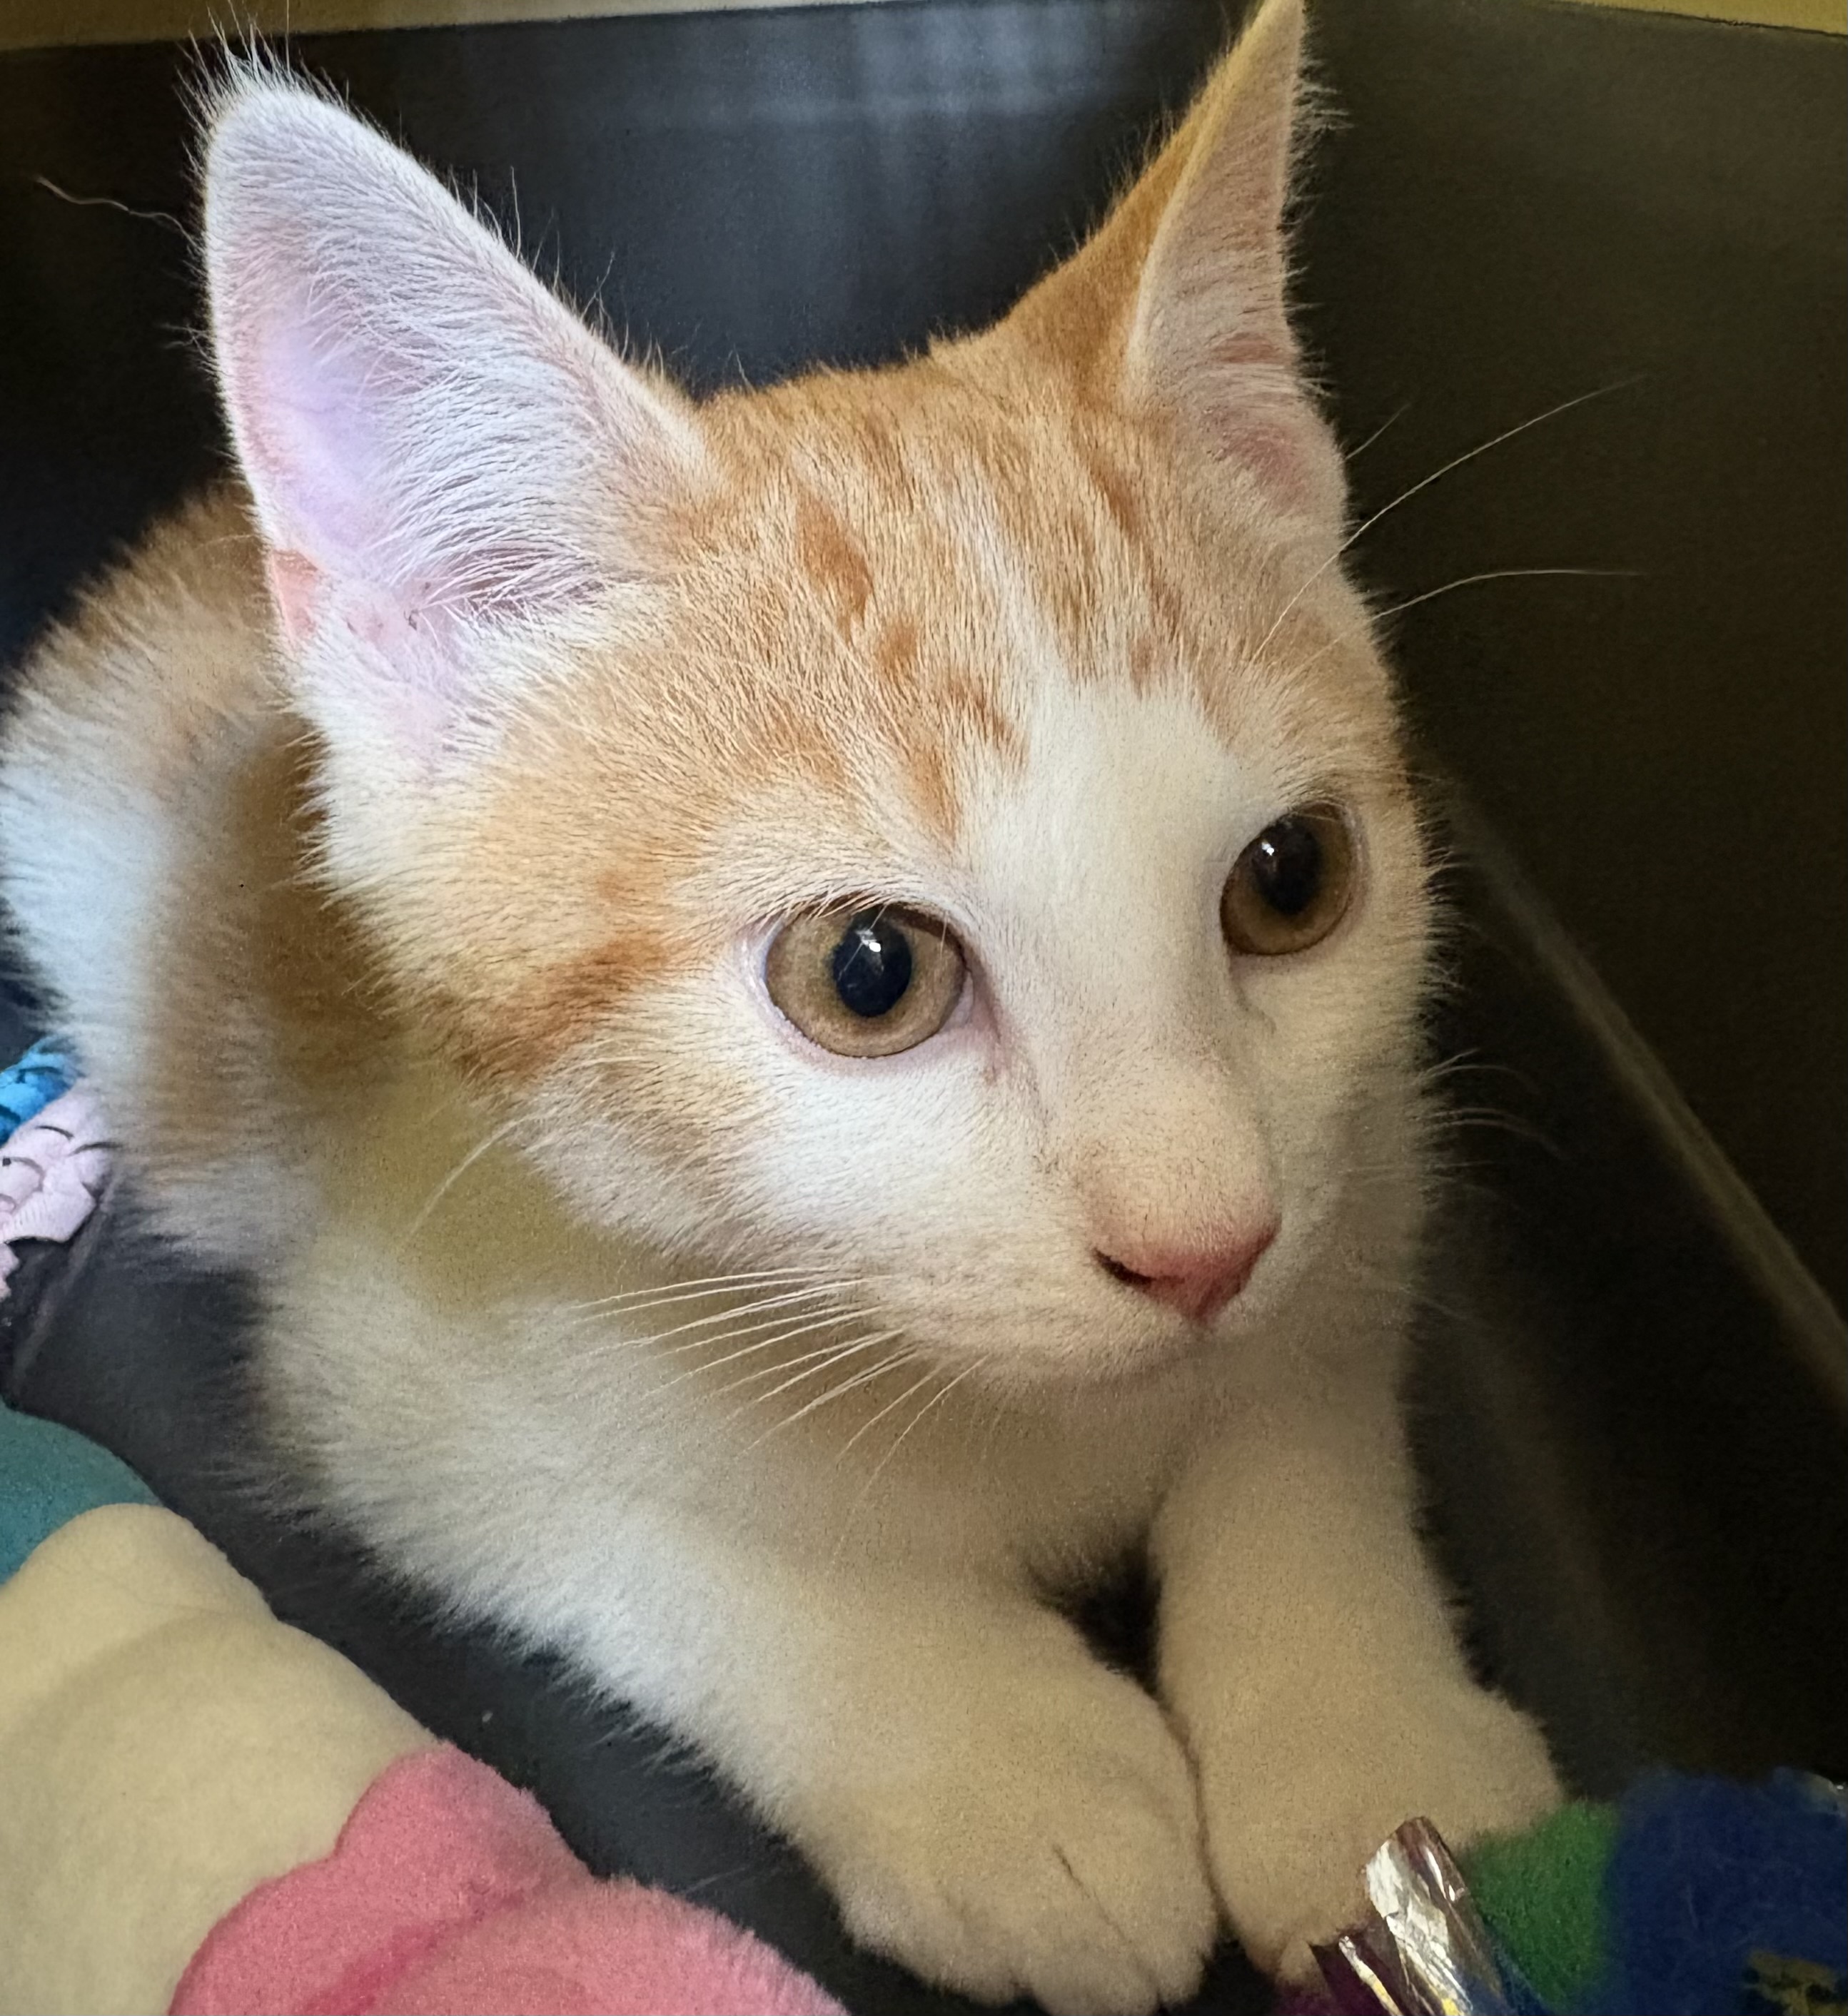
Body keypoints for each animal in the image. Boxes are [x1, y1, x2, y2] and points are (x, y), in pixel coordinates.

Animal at [0, 2, 1561, 2008]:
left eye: (1290, 880)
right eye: (866, 975)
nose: (1201, 1244)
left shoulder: (1358, 1166)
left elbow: (1302, 1404)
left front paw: (1358, 1739)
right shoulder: (377, 1346)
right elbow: (616, 1536)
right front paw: (998, 1763)